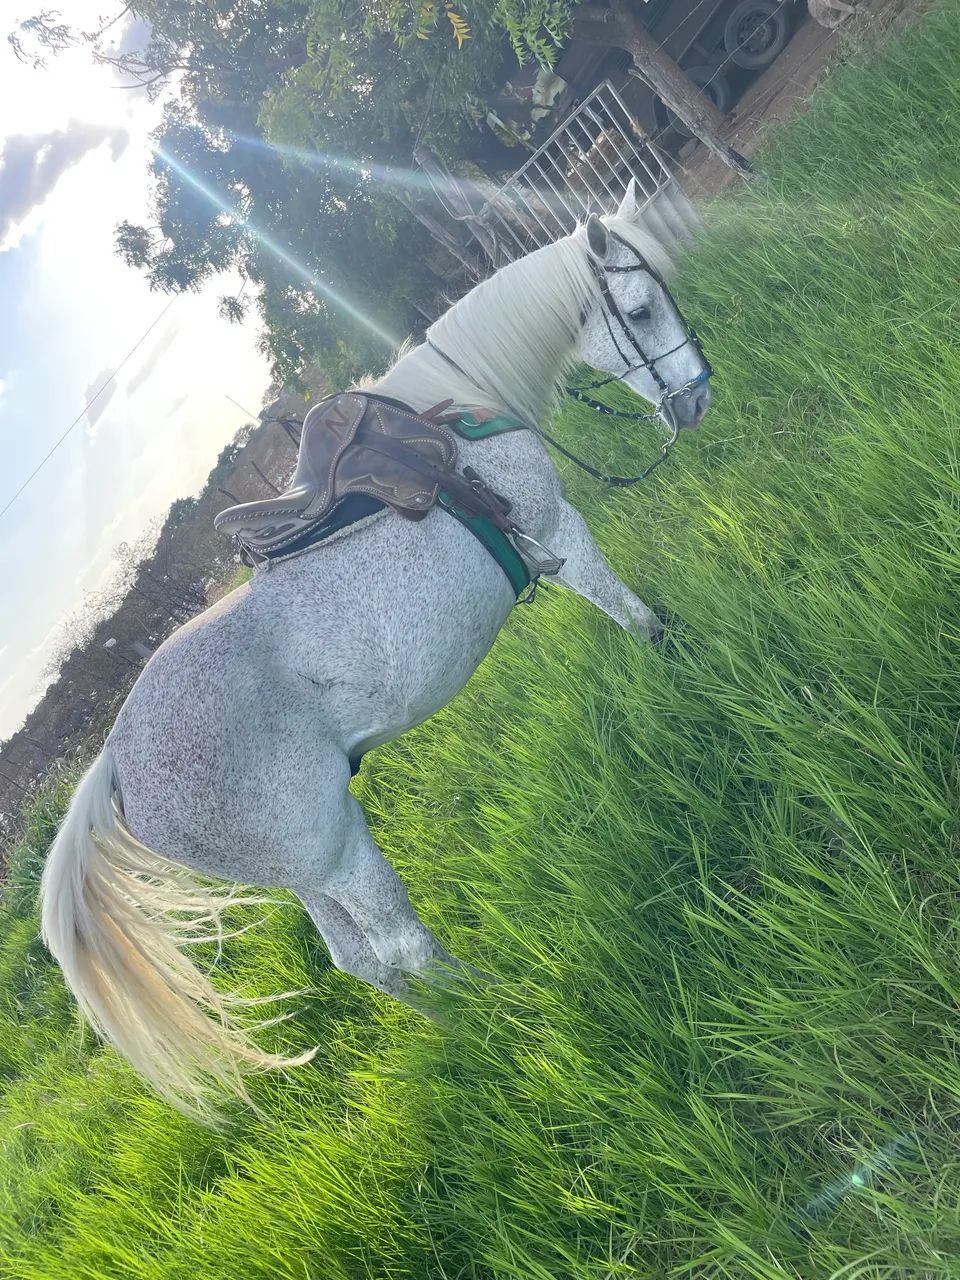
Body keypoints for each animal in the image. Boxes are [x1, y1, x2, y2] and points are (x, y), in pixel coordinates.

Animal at [40, 183, 713, 1119]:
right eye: (641, 308)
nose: (695, 401)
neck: (464, 415)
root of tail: (112, 767)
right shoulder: (562, 531)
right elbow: (633, 616)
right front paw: (684, 670)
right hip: (340, 855)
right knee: (401, 944)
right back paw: (498, 1011)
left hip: (311, 864)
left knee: (360, 960)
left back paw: (455, 1025)